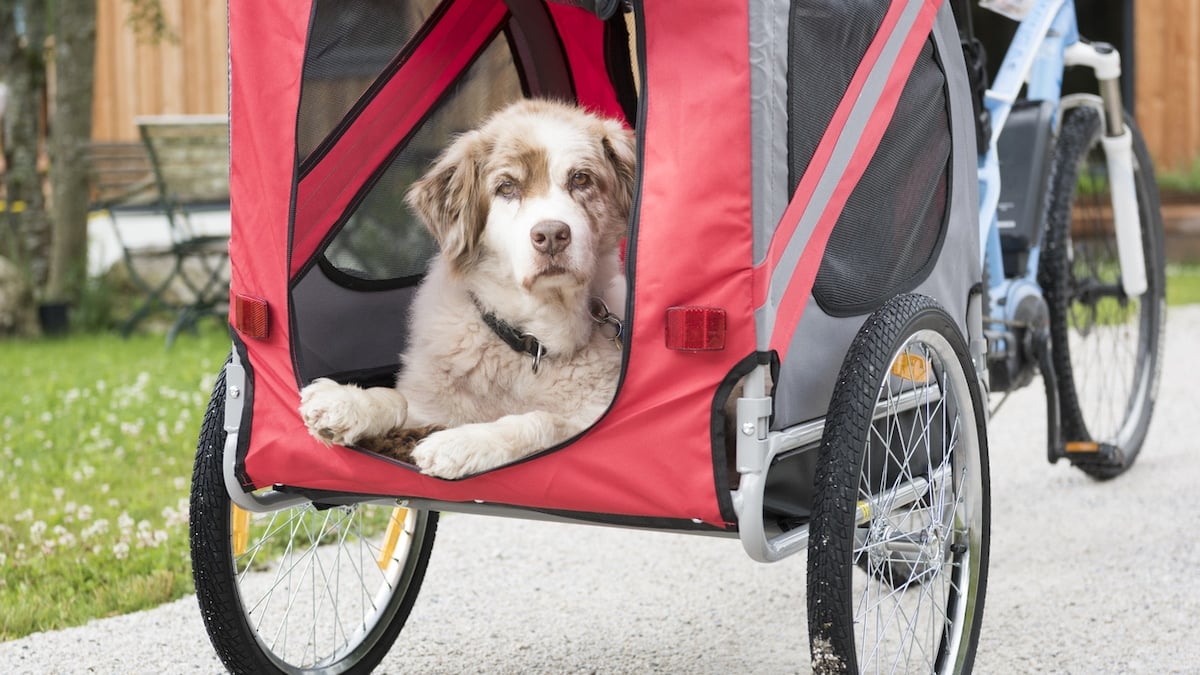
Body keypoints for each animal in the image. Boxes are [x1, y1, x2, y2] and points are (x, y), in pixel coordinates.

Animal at [297, 98, 638, 478]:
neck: (530, 343)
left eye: (581, 178)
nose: (551, 235)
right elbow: (398, 400)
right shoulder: (432, 406)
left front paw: (460, 443)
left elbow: (541, 421)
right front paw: (346, 401)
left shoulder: (595, 423)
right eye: (506, 187)